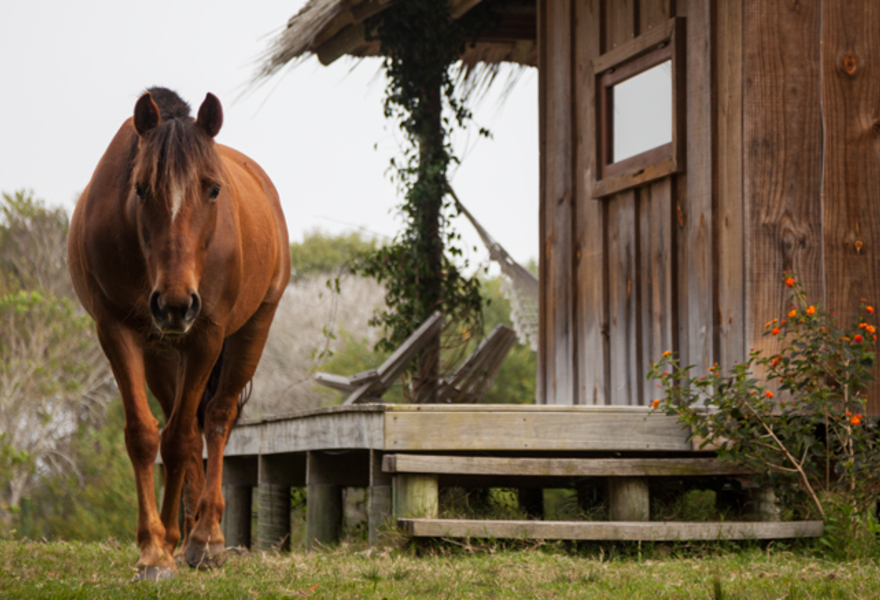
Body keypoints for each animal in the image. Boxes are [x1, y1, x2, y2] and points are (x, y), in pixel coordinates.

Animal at [69, 86, 288, 580]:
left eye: (213, 189)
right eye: (140, 188)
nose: (175, 303)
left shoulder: (206, 335)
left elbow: (183, 437)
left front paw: (179, 545)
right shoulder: (117, 331)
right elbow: (147, 436)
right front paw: (155, 548)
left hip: (250, 331)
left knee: (217, 418)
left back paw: (205, 536)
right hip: (162, 354)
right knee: (180, 424)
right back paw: (184, 534)